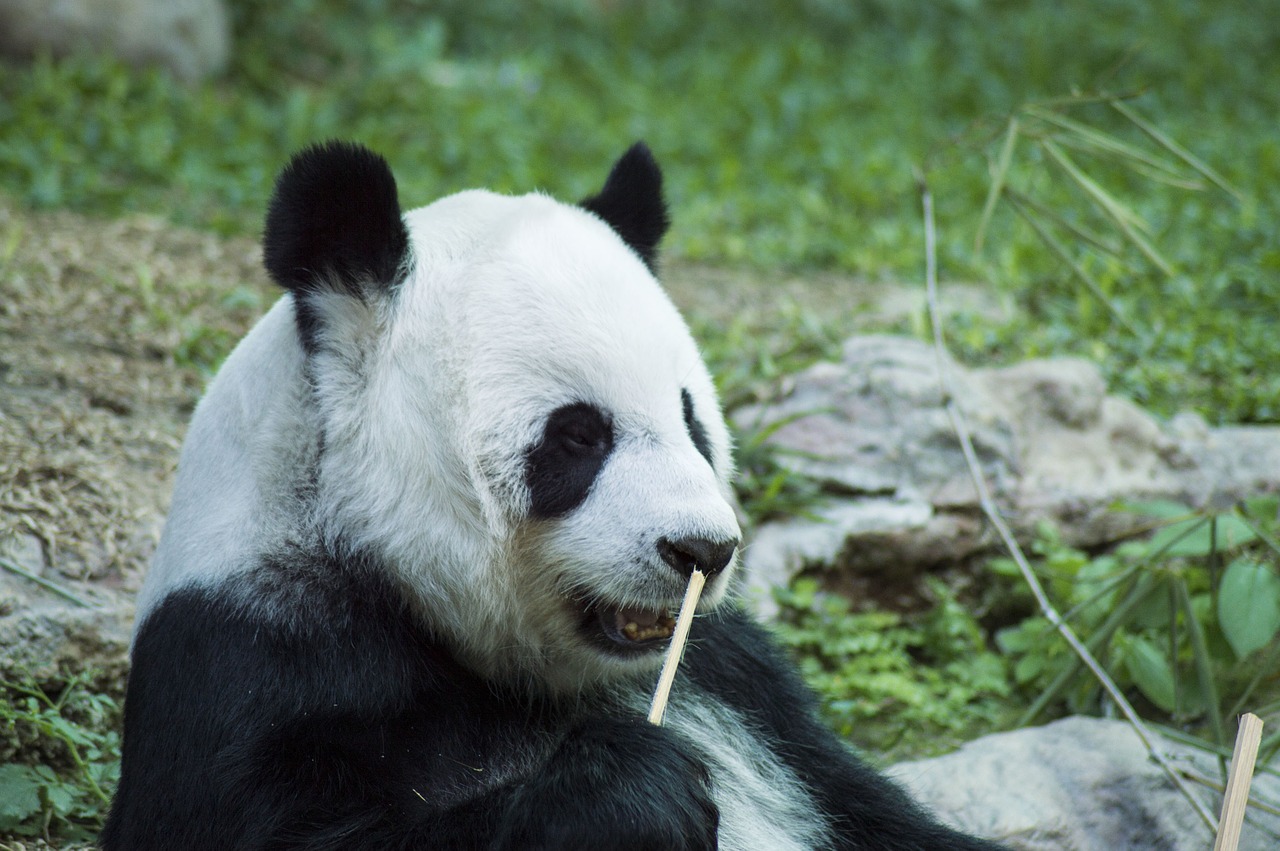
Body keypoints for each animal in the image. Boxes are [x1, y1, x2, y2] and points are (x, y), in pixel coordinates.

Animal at [102, 142, 998, 844]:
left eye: (691, 420)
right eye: (578, 435)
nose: (703, 550)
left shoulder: (741, 688)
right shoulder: (249, 654)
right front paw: (635, 789)